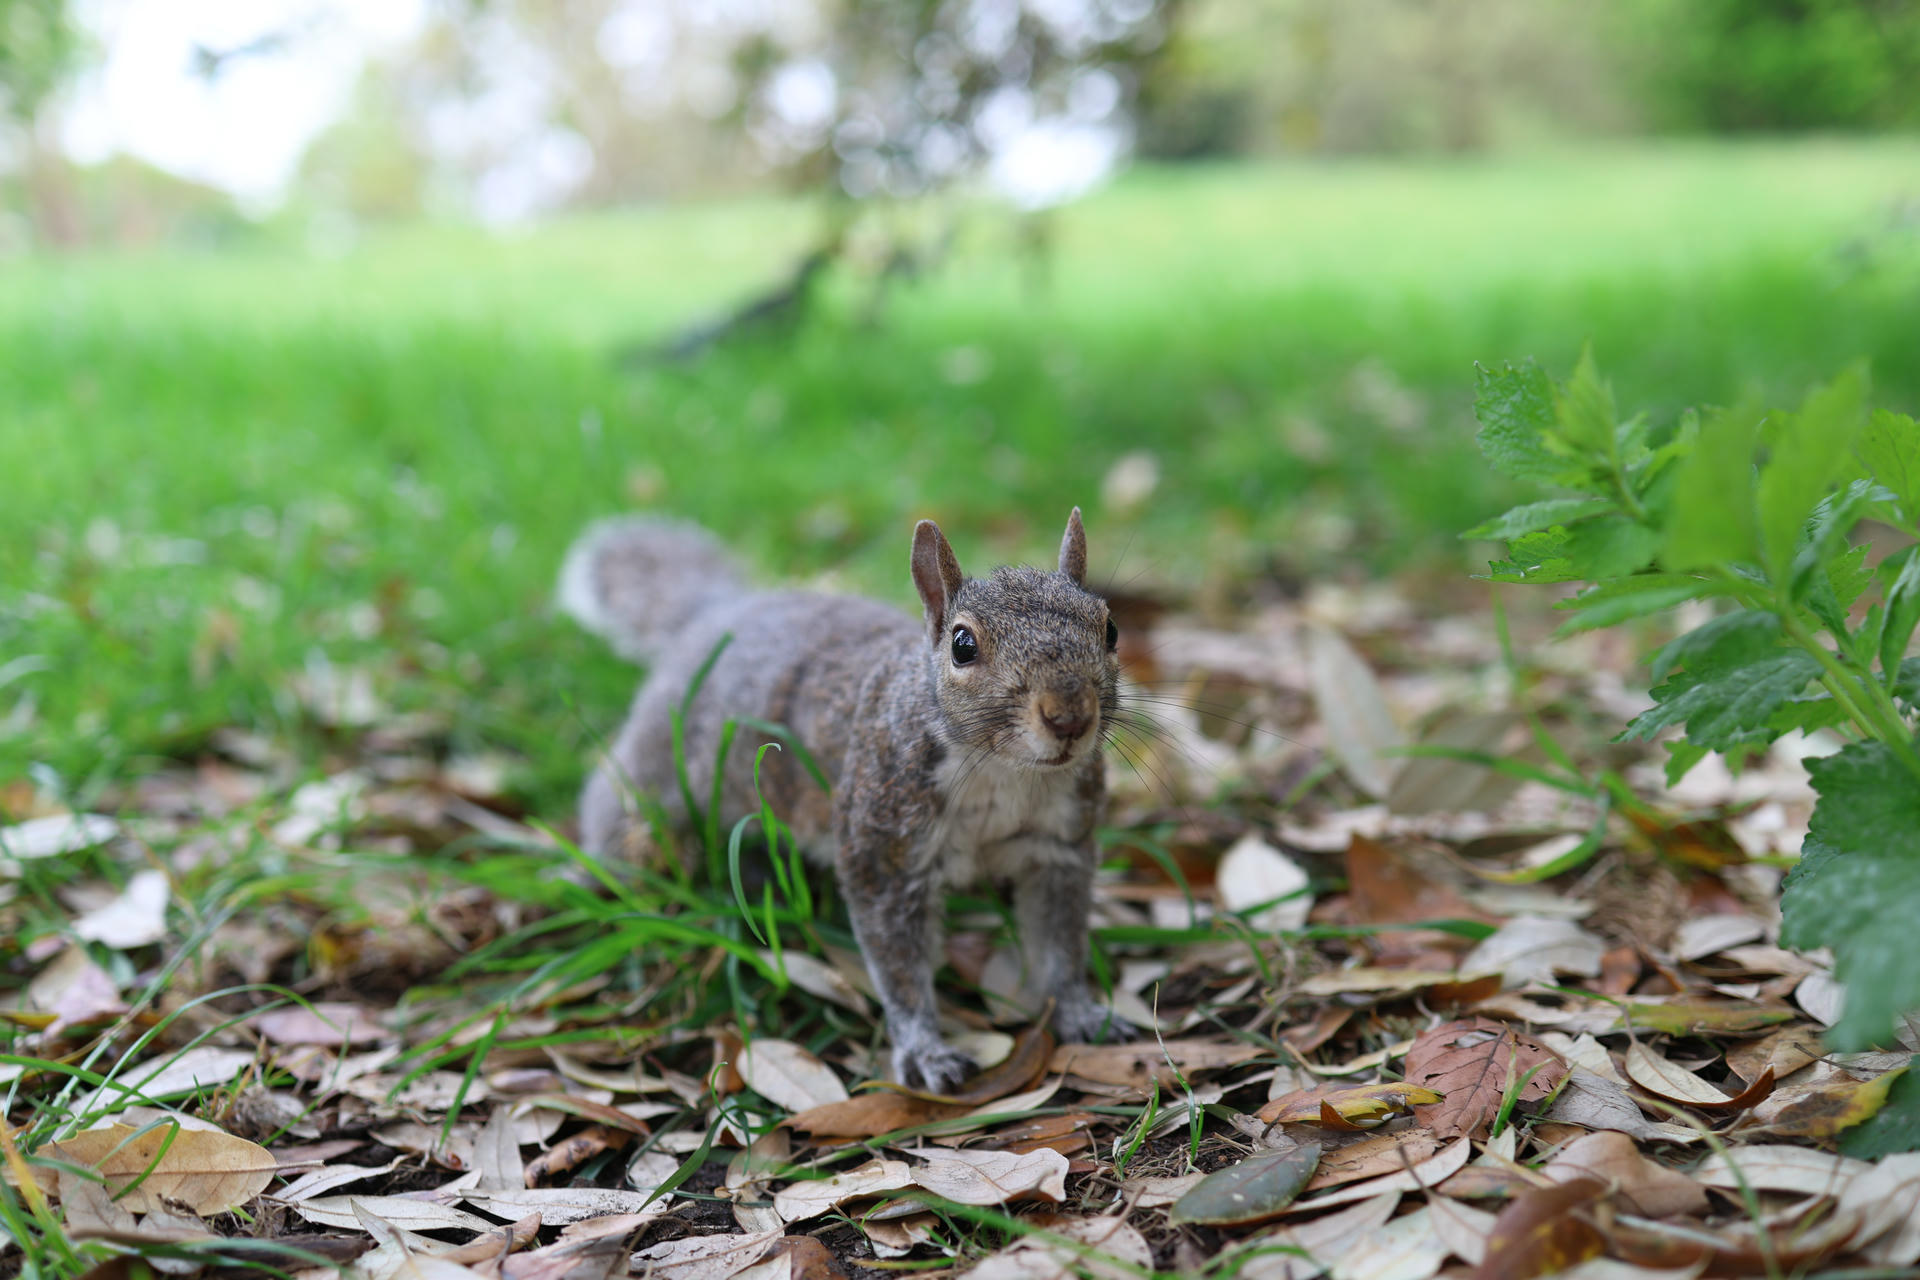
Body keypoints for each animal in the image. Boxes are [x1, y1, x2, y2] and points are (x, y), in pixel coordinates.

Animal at [558, 509, 1136, 1091]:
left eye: (1110, 627)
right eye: (962, 645)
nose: (1069, 716)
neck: (1002, 773)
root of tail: (725, 609)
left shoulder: (1058, 848)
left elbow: (1060, 943)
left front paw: (1081, 1012)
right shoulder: (881, 853)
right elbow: (899, 966)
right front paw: (925, 1050)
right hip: (660, 760)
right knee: (616, 807)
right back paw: (593, 873)